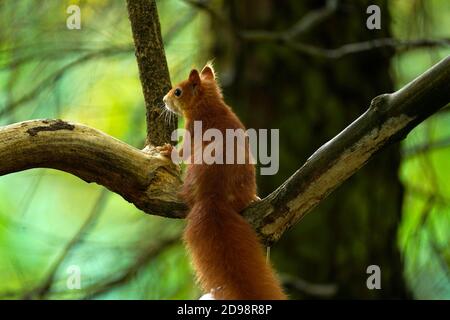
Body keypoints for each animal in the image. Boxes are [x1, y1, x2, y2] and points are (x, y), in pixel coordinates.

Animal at [159, 63, 284, 300]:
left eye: (178, 92)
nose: (163, 100)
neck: (209, 104)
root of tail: (212, 196)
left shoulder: (192, 130)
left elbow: (183, 152)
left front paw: (168, 151)